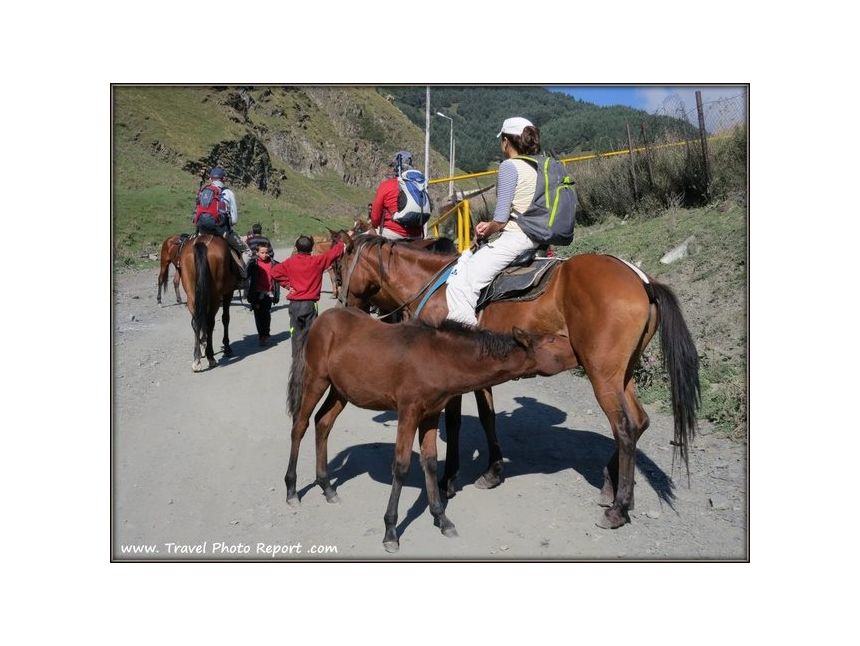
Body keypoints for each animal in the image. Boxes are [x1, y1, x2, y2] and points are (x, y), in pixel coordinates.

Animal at [177, 235, 239, 372]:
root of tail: (201, 243)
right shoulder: (228, 293)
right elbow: (225, 318)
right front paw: (226, 347)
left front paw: (202, 345)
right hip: (215, 296)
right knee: (211, 322)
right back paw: (211, 357)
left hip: (192, 294)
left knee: (196, 322)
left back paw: (197, 359)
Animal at [286, 306, 576, 556]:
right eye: (552, 340)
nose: (577, 350)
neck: (440, 357)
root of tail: (321, 319)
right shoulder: (409, 412)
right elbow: (401, 466)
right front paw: (391, 530)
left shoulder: (431, 415)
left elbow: (431, 462)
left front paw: (441, 518)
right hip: (316, 380)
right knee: (300, 426)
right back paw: (292, 490)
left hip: (340, 390)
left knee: (323, 423)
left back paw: (327, 487)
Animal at [332, 234, 704, 532]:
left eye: (341, 262)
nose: (344, 305)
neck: (435, 286)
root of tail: (642, 280)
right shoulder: (476, 371)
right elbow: (487, 417)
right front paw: (492, 472)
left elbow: (456, 424)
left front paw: (450, 478)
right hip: (622, 374)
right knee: (639, 422)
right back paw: (611, 488)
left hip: (602, 375)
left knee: (624, 427)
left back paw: (618, 508)